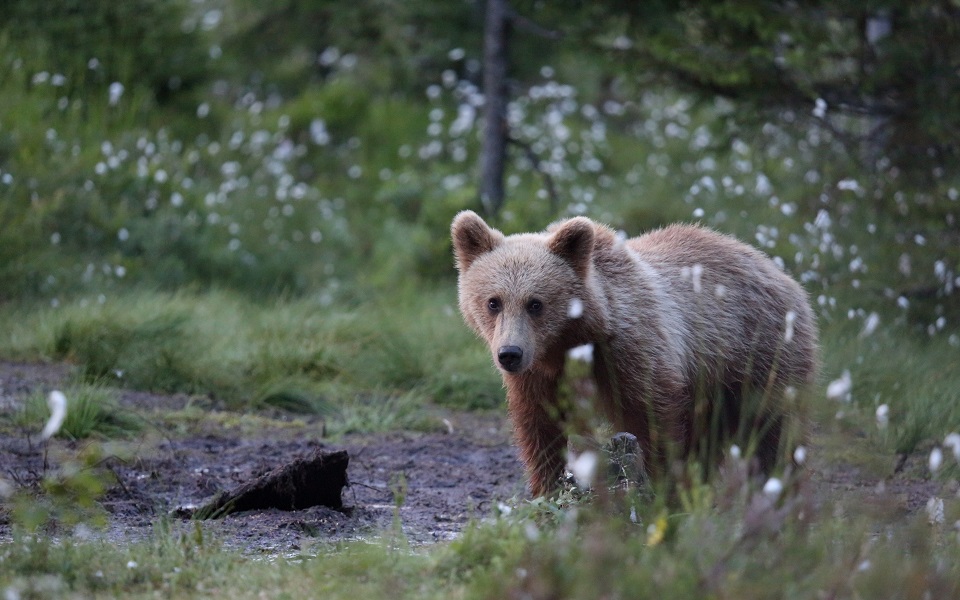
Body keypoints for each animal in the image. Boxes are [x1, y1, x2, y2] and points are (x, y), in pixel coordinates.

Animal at [450, 211, 816, 496]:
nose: (510, 353)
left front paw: (661, 490)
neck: (571, 344)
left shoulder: (634, 353)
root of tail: (782, 274)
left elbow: (654, 420)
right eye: (493, 302)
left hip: (758, 356)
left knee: (773, 433)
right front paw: (547, 491)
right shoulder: (538, 376)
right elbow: (541, 430)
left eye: (535, 303)